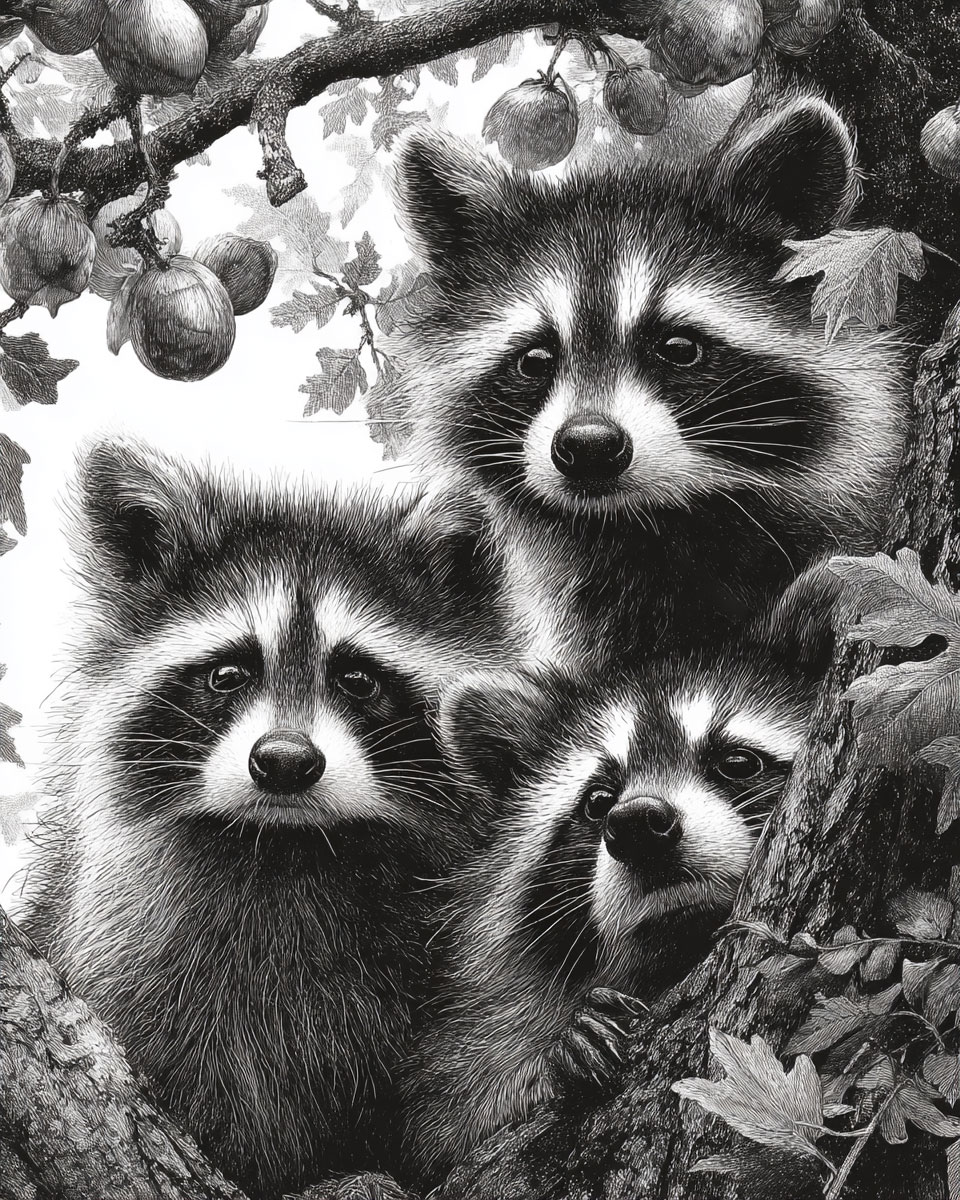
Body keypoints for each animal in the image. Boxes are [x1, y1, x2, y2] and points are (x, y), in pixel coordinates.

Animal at [399, 572, 832, 1188]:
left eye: (737, 763)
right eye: (598, 801)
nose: (637, 824)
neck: (671, 951)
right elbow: (448, 1115)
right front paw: (553, 1058)